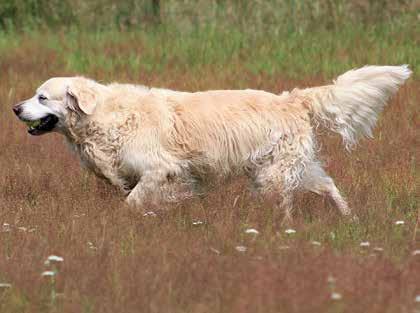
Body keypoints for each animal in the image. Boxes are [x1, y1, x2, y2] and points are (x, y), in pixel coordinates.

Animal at [13, 65, 410, 222]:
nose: (15, 108)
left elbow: (132, 201)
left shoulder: (162, 170)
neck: (103, 116)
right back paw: (349, 218)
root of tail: (292, 99)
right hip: (286, 167)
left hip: (273, 173)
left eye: (42, 97)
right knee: (327, 184)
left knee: (288, 202)